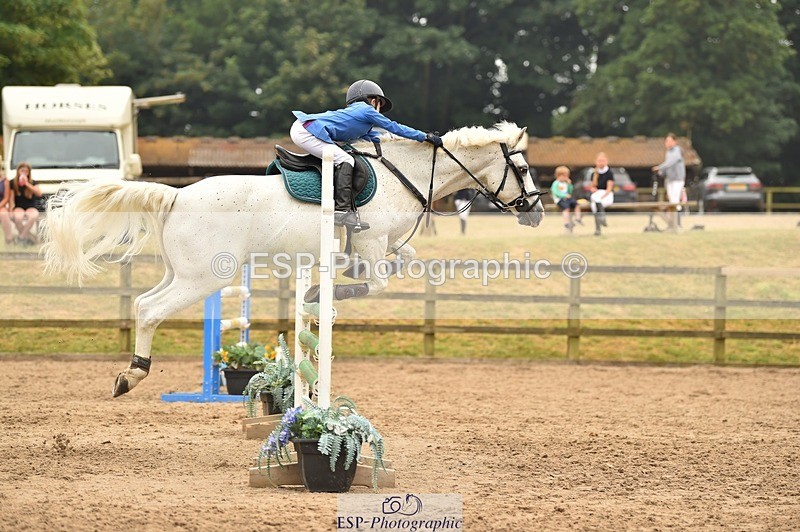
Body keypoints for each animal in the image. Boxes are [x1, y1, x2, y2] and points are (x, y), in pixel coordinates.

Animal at [41, 122, 545, 397]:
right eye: (521, 169)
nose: (537, 212)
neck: (406, 174)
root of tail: (176, 195)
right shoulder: (373, 241)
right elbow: (376, 281)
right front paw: (324, 291)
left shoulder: (382, 244)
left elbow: (399, 260)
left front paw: (327, 287)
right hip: (204, 278)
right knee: (149, 309)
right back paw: (132, 375)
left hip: (181, 272)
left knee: (145, 301)